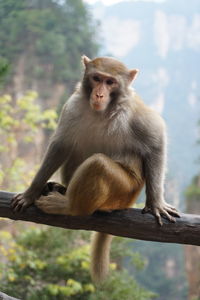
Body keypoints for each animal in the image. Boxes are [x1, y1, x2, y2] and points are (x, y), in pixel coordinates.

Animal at [11, 55, 180, 282]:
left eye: (110, 82)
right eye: (97, 78)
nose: (99, 93)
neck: (103, 111)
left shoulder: (133, 111)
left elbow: (155, 141)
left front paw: (156, 204)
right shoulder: (72, 106)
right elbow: (61, 146)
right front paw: (30, 192)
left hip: (125, 192)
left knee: (98, 164)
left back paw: (69, 206)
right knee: (76, 150)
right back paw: (63, 190)